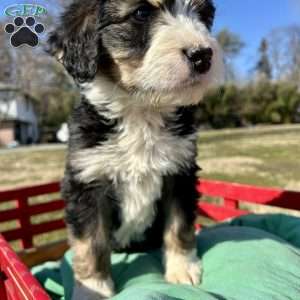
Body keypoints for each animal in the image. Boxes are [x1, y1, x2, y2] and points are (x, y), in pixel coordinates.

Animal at [48, 1, 223, 298]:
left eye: (204, 14)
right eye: (142, 13)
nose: (202, 55)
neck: (141, 110)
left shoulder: (180, 173)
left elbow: (179, 225)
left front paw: (182, 269)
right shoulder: (86, 181)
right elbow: (90, 244)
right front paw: (93, 289)